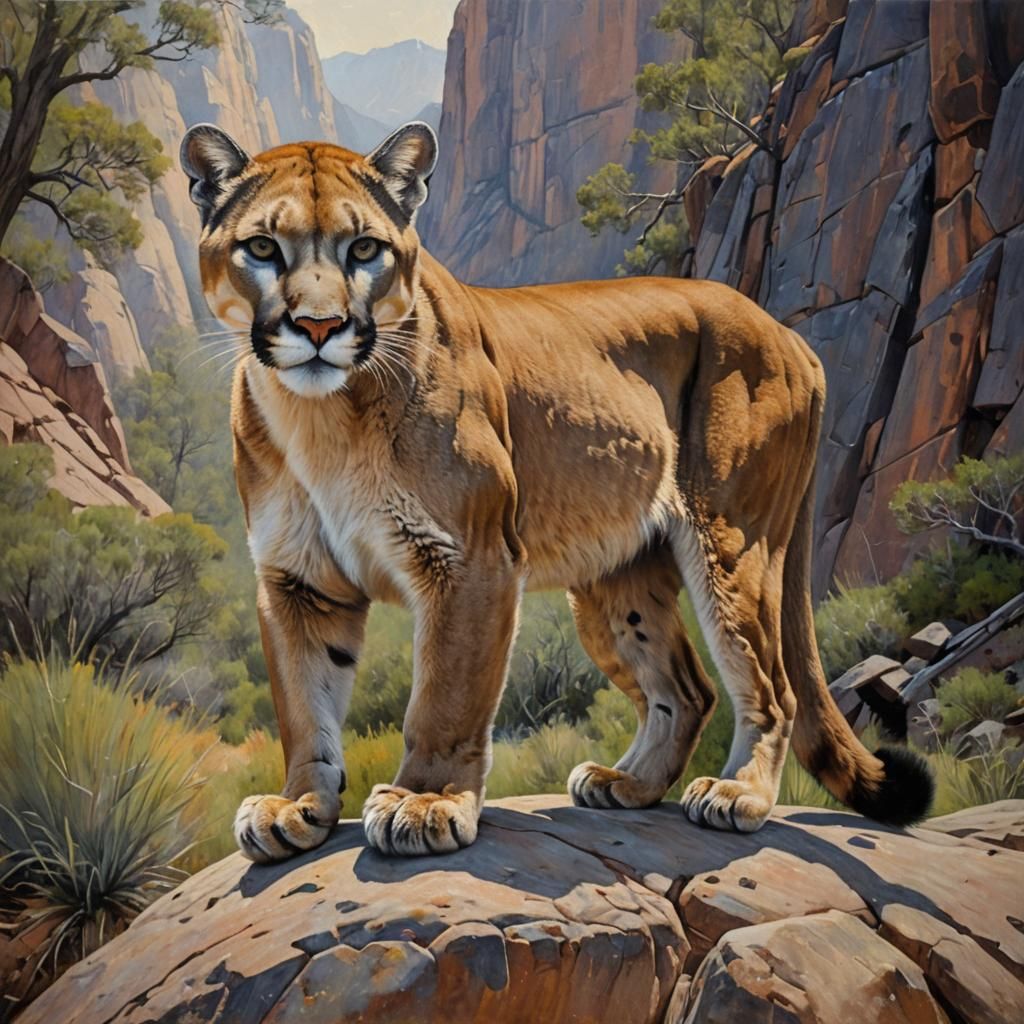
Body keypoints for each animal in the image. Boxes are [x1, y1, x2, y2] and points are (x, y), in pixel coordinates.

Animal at [180, 120, 932, 860]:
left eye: (363, 248)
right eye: (262, 247)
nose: (318, 327)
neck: (321, 417)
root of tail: (789, 334)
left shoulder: (470, 560)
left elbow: (446, 695)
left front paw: (426, 802)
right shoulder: (297, 578)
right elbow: (305, 703)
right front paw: (297, 807)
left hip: (734, 542)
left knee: (772, 687)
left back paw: (735, 794)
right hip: (617, 582)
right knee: (686, 690)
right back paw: (627, 784)